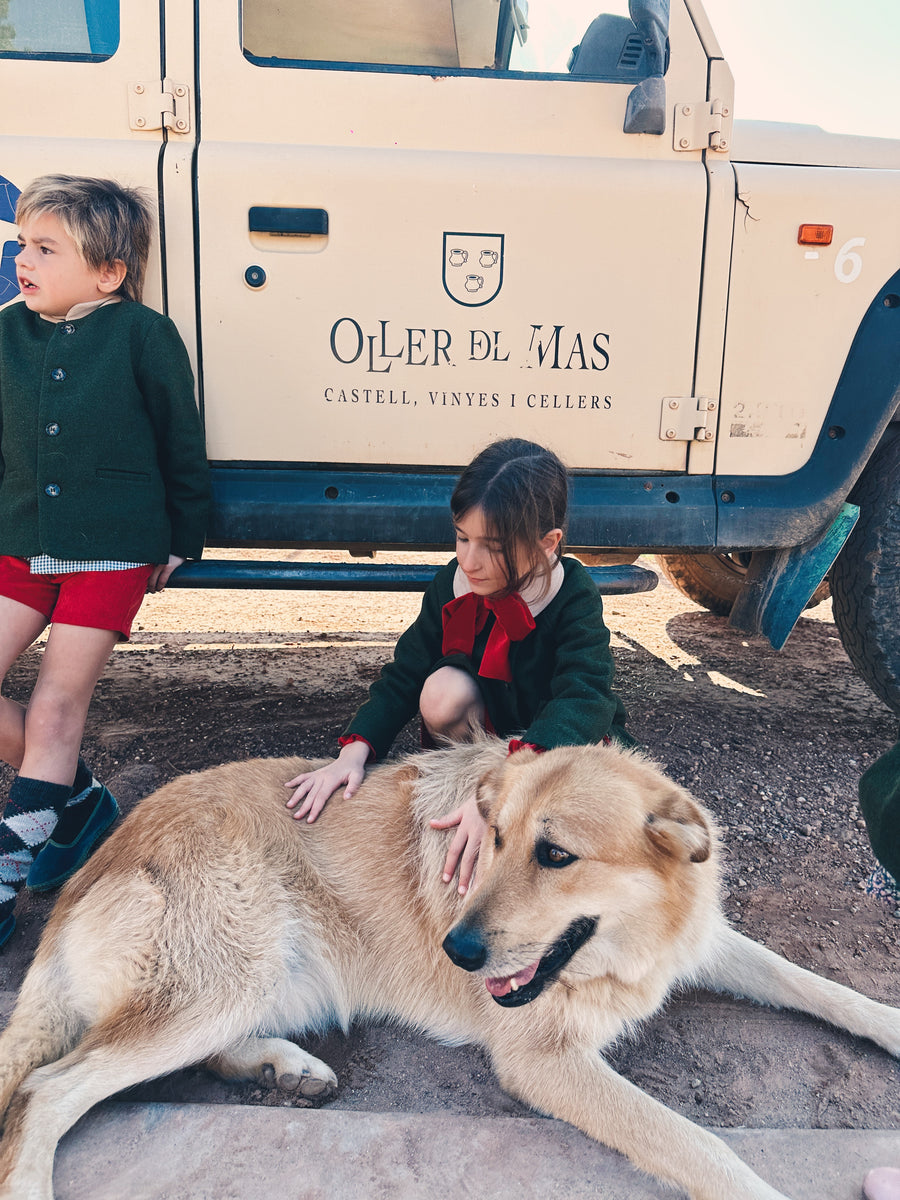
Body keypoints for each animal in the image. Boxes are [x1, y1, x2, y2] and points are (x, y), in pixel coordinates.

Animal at [1, 739, 900, 1200]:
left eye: (555, 855)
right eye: (492, 838)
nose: (455, 952)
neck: (625, 949)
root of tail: (94, 862)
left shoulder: (706, 945)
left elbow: (823, 988)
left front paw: (888, 1023)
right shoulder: (544, 1061)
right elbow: (701, 1145)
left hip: (264, 985)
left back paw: (285, 1070)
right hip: (232, 975)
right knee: (47, 1088)